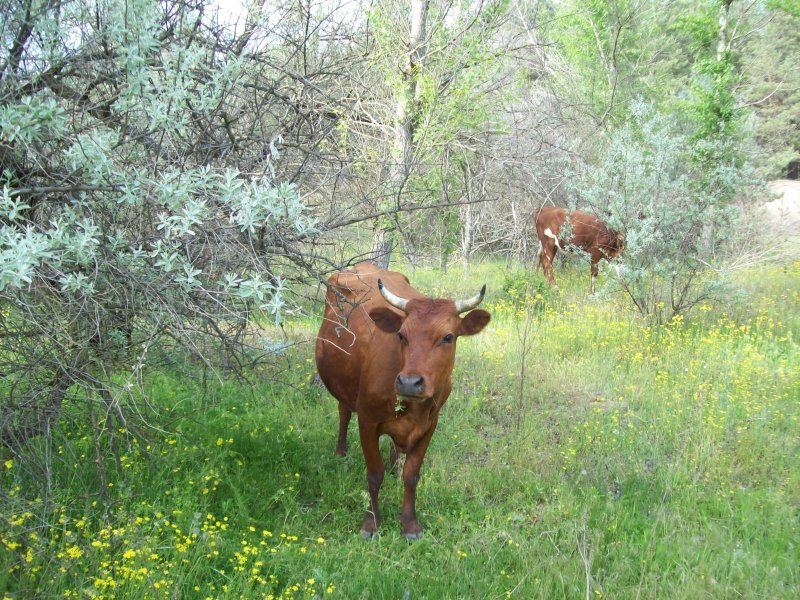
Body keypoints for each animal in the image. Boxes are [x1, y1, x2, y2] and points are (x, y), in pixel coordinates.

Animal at [316, 262, 490, 540]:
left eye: (448, 337)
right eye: (401, 335)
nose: (409, 382)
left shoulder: (430, 425)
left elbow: (412, 475)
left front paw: (409, 524)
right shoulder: (367, 421)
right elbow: (374, 474)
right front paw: (371, 523)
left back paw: (394, 465)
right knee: (344, 412)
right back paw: (340, 452)